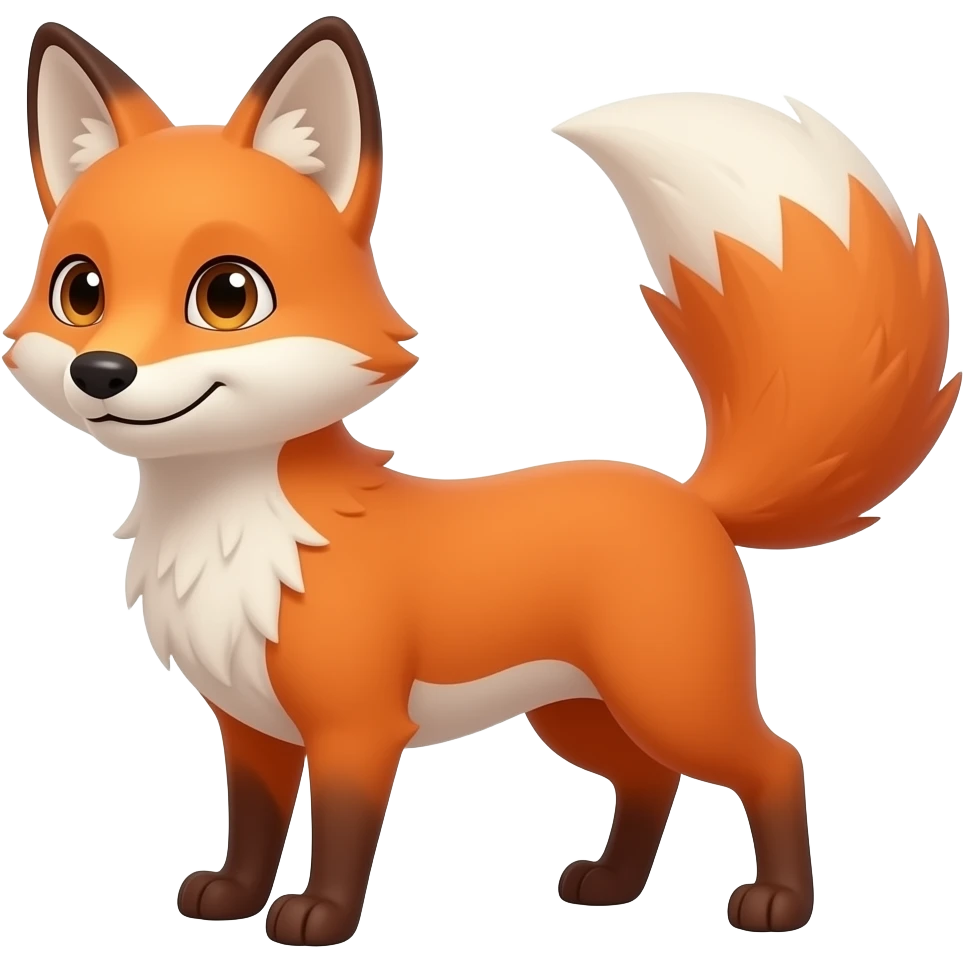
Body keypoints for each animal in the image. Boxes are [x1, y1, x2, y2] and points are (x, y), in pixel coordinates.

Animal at [6, 15, 959, 947]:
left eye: (228, 295)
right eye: (80, 291)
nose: (101, 371)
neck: (234, 531)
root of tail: (689, 496)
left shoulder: (356, 726)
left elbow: (340, 832)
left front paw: (319, 918)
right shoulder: (250, 727)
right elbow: (254, 823)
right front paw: (233, 895)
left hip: (669, 695)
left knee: (773, 760)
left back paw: (778, 904)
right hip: (579, 713)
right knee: (648, 780)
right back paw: (611, 886)